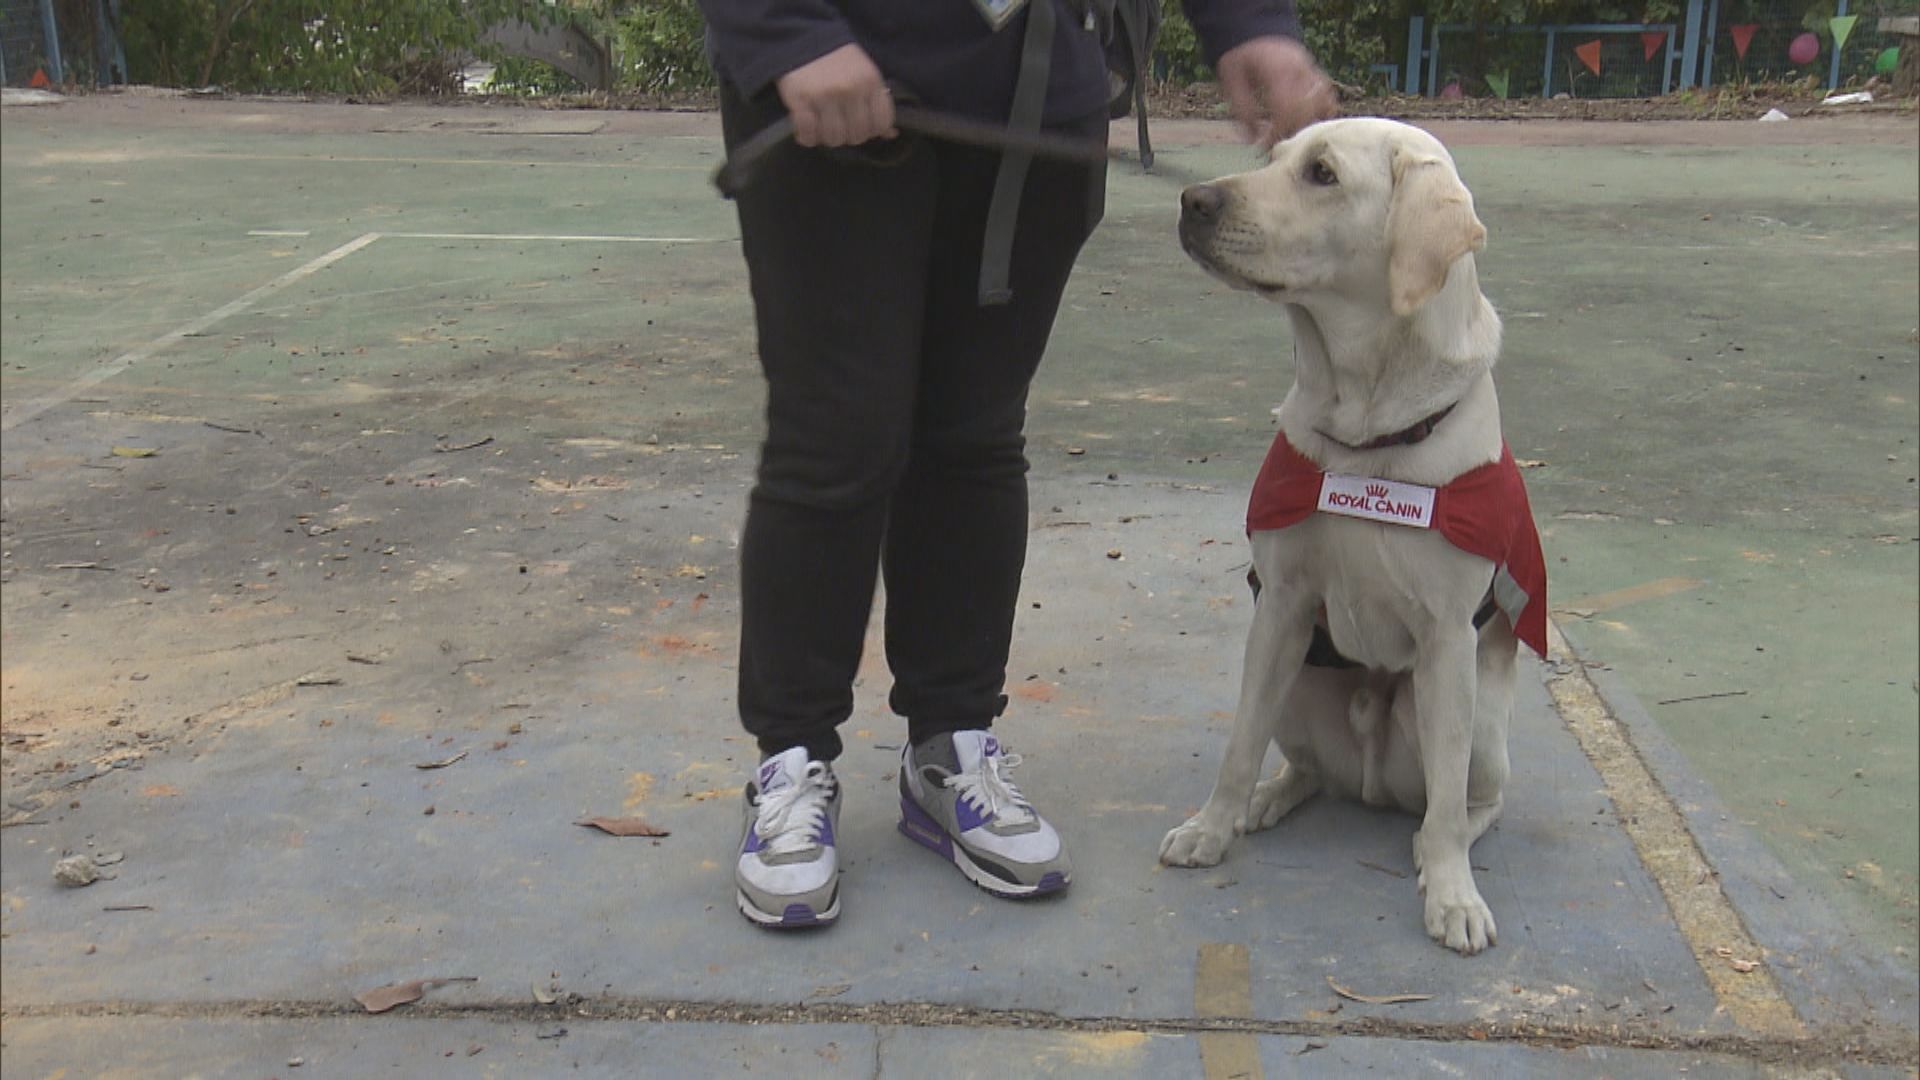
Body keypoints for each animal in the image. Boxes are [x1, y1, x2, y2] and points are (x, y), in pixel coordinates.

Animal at [1152, 117, 1543, 949]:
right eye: (1271, 157)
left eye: (1322, 174)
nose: (1192, 200)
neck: (1368, 429)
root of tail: (1368, 783)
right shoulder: (1281, 606)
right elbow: (1237, 745)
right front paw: (1213, 825)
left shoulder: (1447, 637)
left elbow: (1447, 806)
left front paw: (1453, 894)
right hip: (1299, 684)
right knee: (1305, 768)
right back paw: (1269, 798)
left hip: (1477, 724)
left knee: (1463, 802)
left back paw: (1436, 844)